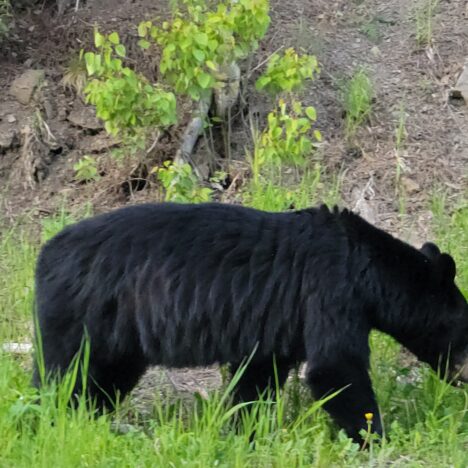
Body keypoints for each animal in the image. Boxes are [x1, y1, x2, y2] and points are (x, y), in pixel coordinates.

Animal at [33, 203, 468, 440]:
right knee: (60, 374)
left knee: (103, 381)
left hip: (118, 337)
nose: (465, 376)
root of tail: (46, 252)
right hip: (82, 312)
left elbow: (257, 379)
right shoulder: (330, 292)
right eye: (463, 329)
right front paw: (375, 437)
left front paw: (247, 430)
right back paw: (49, 419)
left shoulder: (276, 327)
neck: (367, 271)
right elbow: (335, 366)